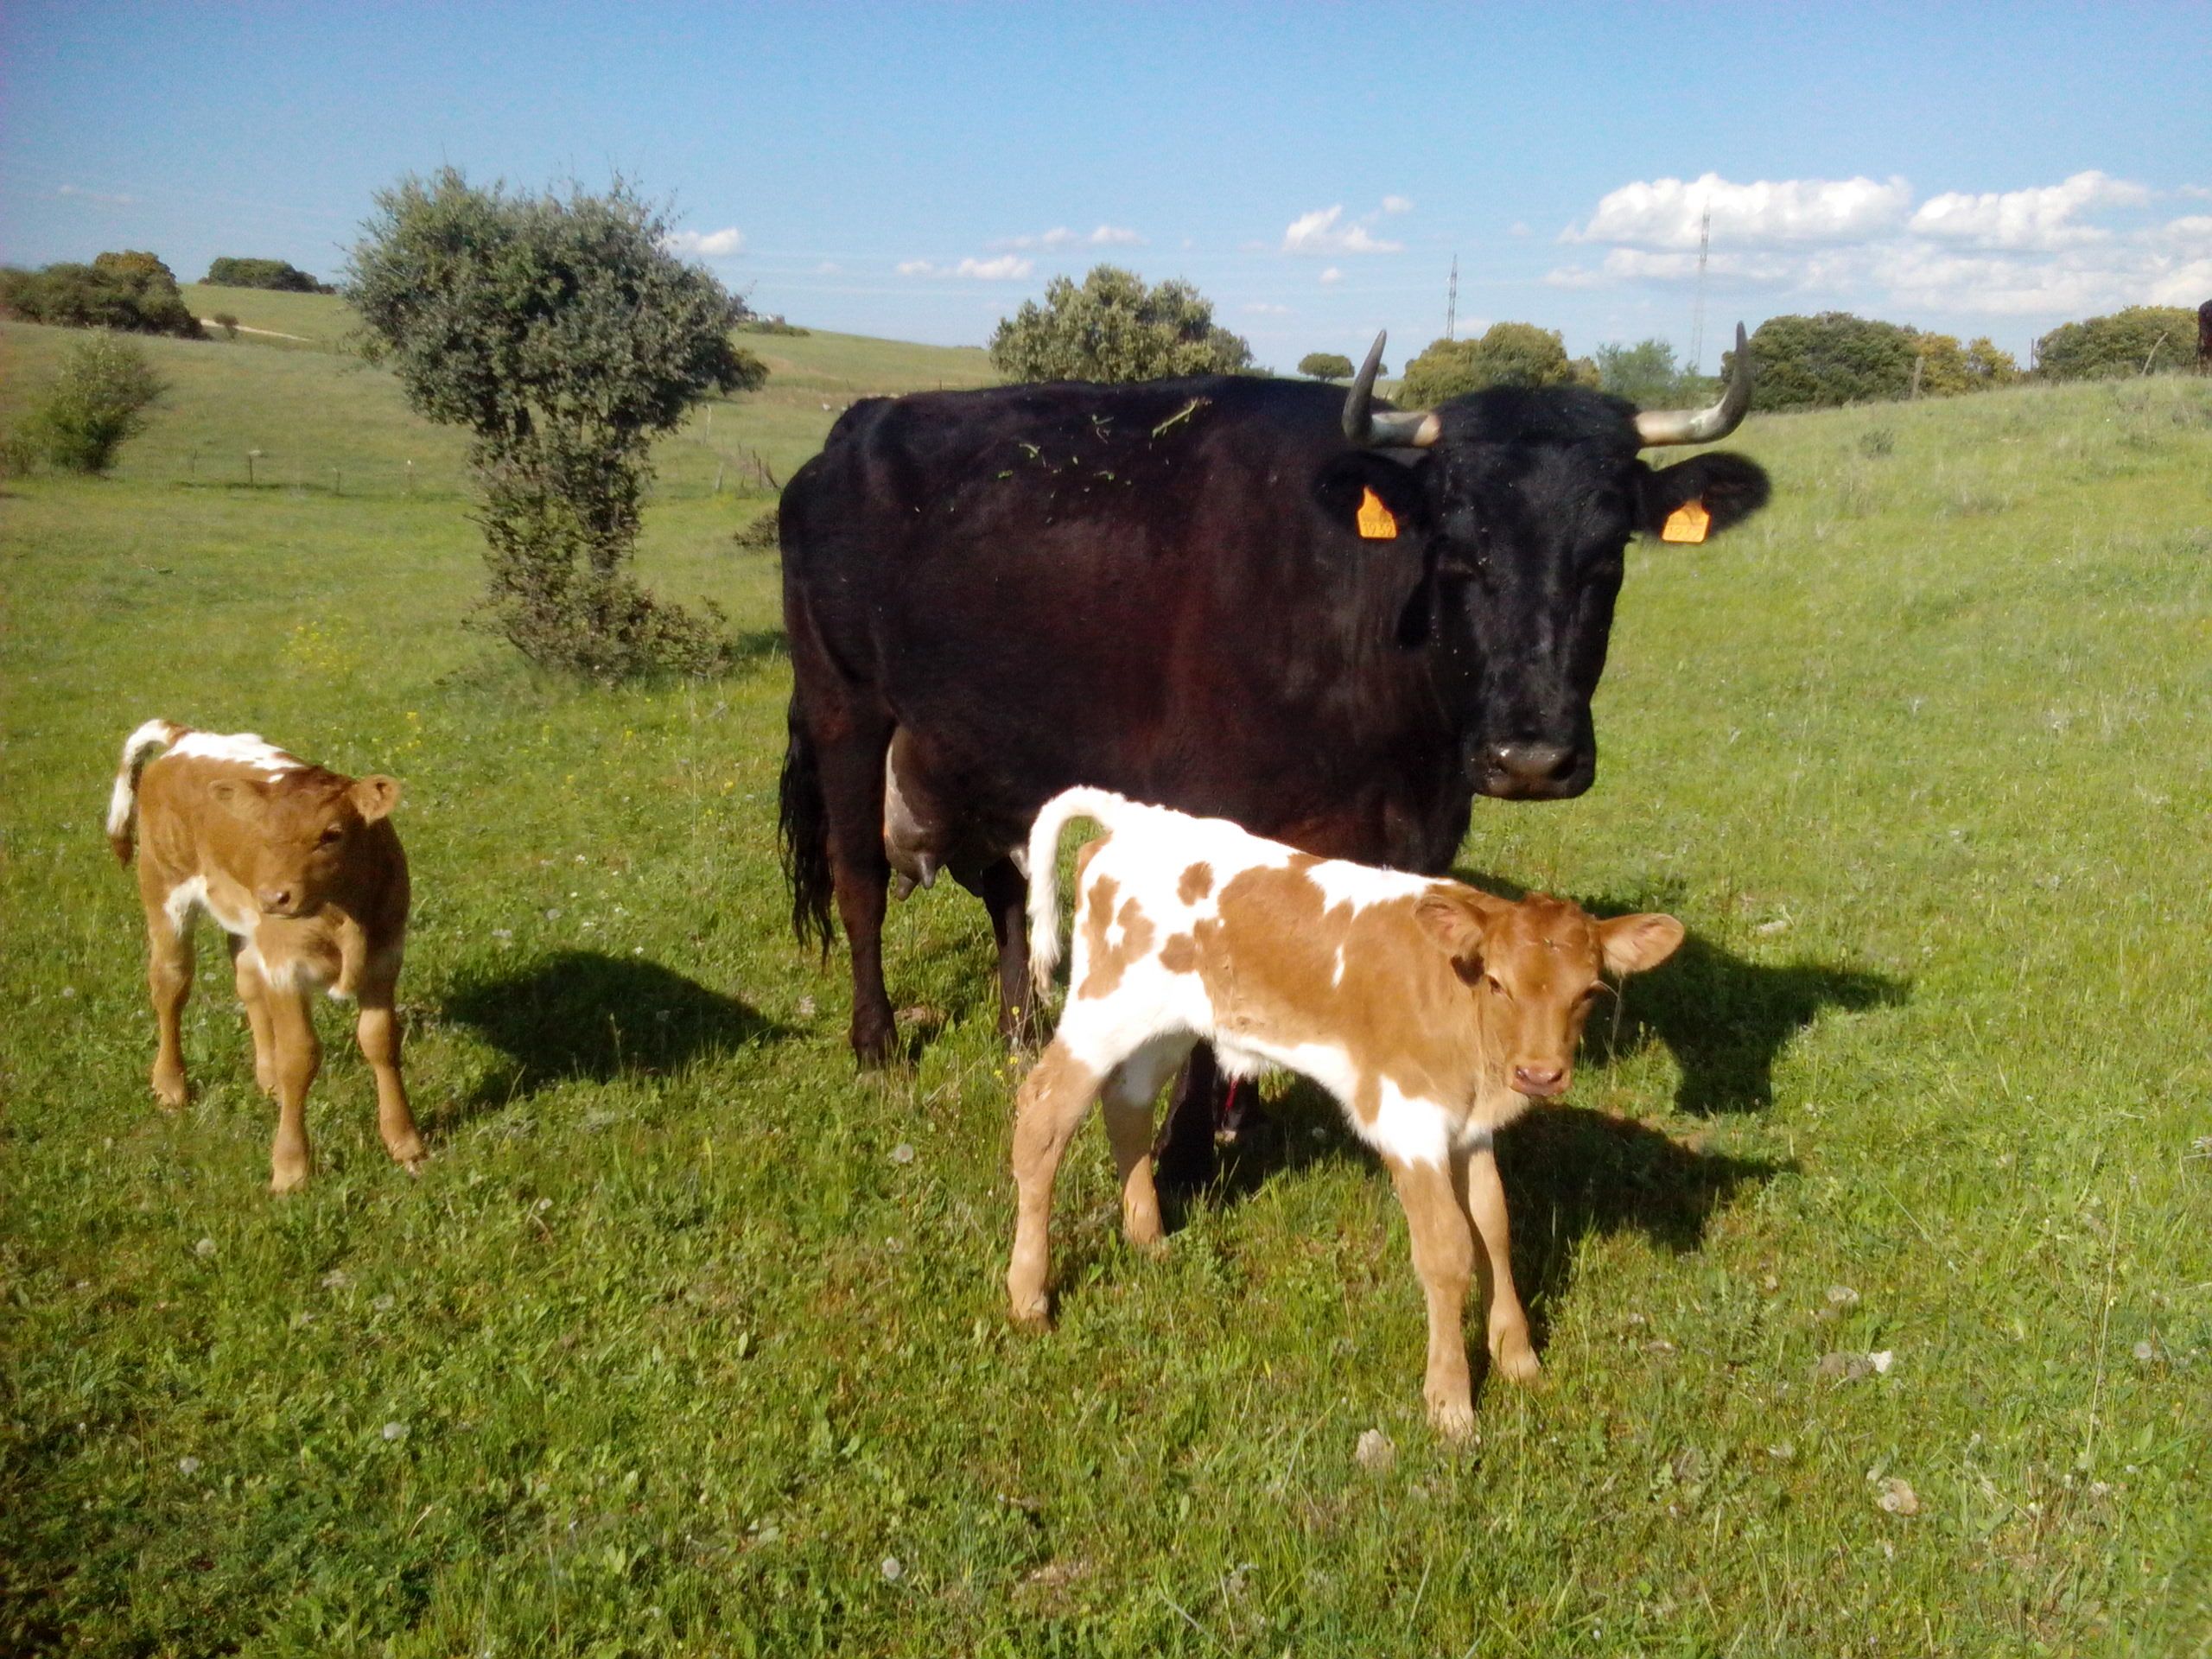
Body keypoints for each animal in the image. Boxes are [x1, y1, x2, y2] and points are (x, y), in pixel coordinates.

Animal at [106, 720, 418, 1192]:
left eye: (332, 834)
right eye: (263, 834)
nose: (273, 897)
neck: (342, 915)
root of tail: (186, 737)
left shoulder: (386, 959)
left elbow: (380, 1042)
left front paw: (405, 1142)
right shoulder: (286, 966)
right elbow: (300, 1057)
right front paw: (291, 1168)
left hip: (245, 923)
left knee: (247, 983)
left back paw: (266, 1080)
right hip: (164, 890)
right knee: (170, 985)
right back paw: (171, 1086)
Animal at [778, 327, 1765, 1167]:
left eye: (1608, 554)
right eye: (1456, 548)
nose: (1530, 759)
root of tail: (851, 432)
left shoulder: (1414, 829)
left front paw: (1242, 1115)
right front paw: (1185, 1153)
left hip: (985, 737)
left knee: (1007, 887)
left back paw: (1019, 1030)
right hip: (844, 707)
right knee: (859, 879)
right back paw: (876, 1042)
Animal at [1007, 788, 1683, 1434]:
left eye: (1589, 992)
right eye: (1497, 982)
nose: (1539, 1073)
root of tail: (1139, 820)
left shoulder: (1469, 1130)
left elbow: (1494, 1227)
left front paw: (1519, 1360)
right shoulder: (1409, 1119)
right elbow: (1447, 1253)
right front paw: (1451, 1406)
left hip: (1168, 1024)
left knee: (1128, 1105)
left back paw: (1148, 1239)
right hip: (1104, 1010)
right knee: (1043, 1117)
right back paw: (1028, 1298)